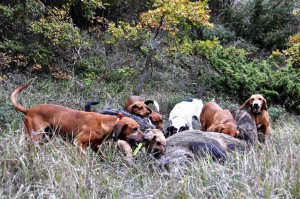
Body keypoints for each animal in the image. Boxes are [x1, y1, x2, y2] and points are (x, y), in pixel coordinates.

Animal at [11, 83, 149, 158]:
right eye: (135, 129)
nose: (147, 138)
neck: (107, 124)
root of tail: (29, 110)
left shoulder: (94, 146)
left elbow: (102, 156)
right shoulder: (78, 143)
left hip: (46, 136)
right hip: (36, 136)